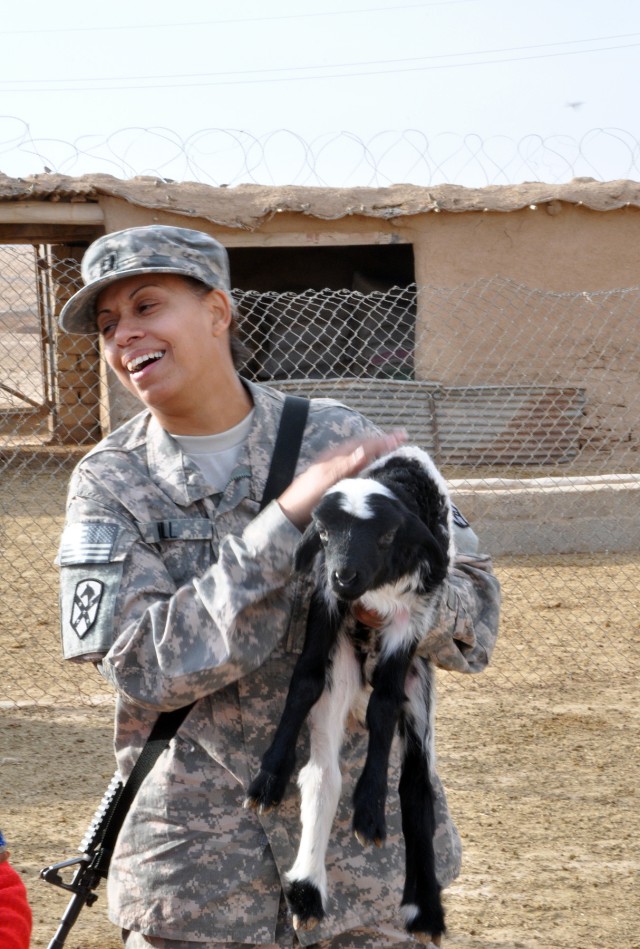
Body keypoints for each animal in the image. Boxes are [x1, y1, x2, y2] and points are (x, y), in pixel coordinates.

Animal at [245, 446, 456, 948]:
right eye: (322, 533)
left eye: (387, 536)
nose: (346, 575)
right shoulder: (325, 599)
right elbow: (302, 681)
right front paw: (268, 780)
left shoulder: (412, 619)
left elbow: (384, 708)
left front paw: (370, 813)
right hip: (341, 667)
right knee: (322, 774)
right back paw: (306, 892)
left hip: (419, 687)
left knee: (416, 786)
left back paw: (424, 910)